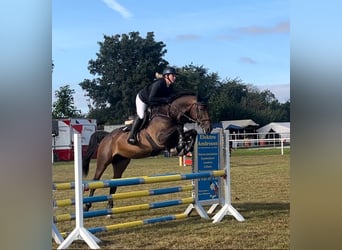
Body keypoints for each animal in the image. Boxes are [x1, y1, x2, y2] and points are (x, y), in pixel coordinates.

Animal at [82, 93, 211, 211]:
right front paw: (181, 146)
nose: (208, 129)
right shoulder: (160, 139)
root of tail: (107, 136)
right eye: (201, 109)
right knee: (96, 180)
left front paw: (186, 147)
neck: (168, 115)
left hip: (121, 162)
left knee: (114, 182)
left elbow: (192, 132)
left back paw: (110, 207)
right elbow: (179, 129)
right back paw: (87, 206)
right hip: (103, 160)